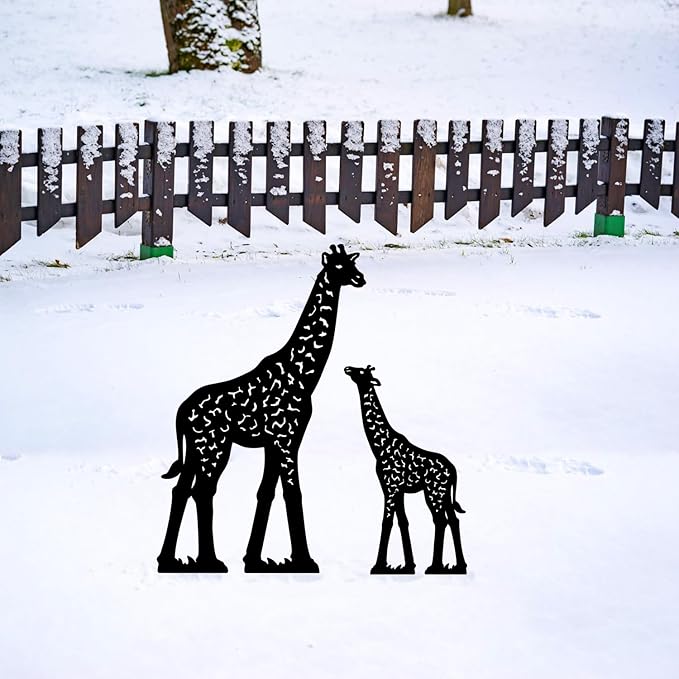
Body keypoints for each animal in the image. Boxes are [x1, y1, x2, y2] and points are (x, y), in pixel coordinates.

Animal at [158, 244, 366, 573]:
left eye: (351, 264)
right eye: (338, 267)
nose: (360, 278)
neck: (303, 374)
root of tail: (181, 412)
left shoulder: (275, 442)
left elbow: (266, 491)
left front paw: (253, 559)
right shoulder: (287, 439)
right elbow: (293, 492)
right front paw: (305, 561)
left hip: (194, 450)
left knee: (181, 490)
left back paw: (168, 559)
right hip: (214, 447)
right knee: (202, 491)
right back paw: (210, 561)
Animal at [344, 365, 467, 575]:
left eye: (361, 372)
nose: (347, 368)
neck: (379, 446)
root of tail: (453, 471)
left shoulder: (390, 487)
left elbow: (387, 521)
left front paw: (378, 566)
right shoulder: (397, 489)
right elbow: (403, 521)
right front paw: (409, 565)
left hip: (433, 492)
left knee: (440, 520)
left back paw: (435, 566)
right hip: (444, 494)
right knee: (453, 520)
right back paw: (459, 566)